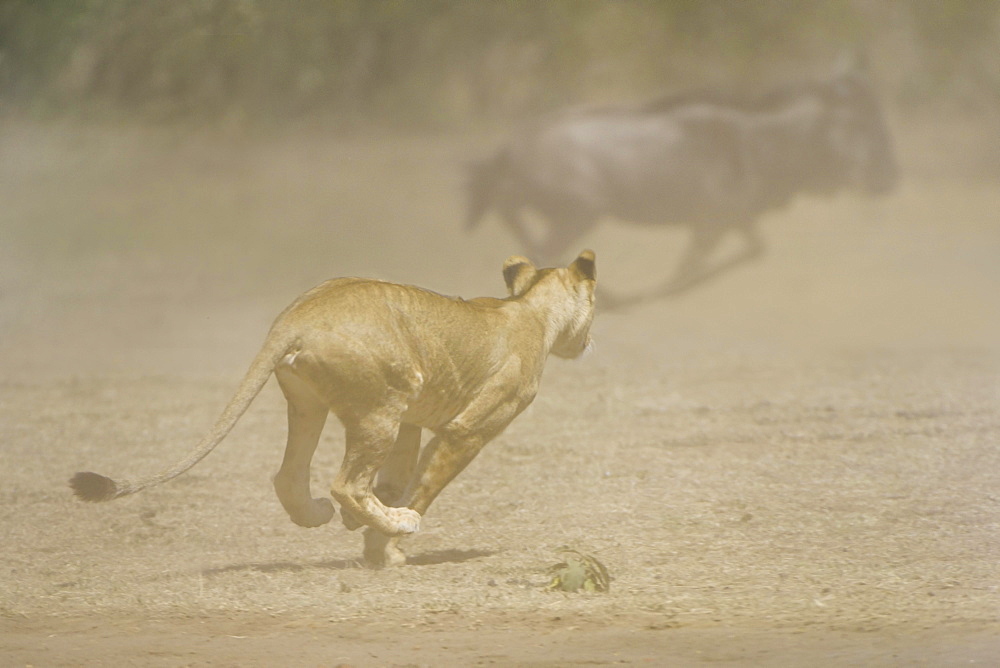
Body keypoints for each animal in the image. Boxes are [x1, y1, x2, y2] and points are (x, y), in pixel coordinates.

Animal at [72, 252, 600, 568]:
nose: (591, 341)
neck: (530, 309)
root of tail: (295, 316)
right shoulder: (465, 429)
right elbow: (424, 485)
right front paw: (388, 544)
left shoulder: (413, 419)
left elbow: (400, 475)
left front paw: (370, 531)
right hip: (383, 402)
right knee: (346, 482)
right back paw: (394, 519)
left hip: (317, 404)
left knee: (291, 477)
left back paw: (321, 514)